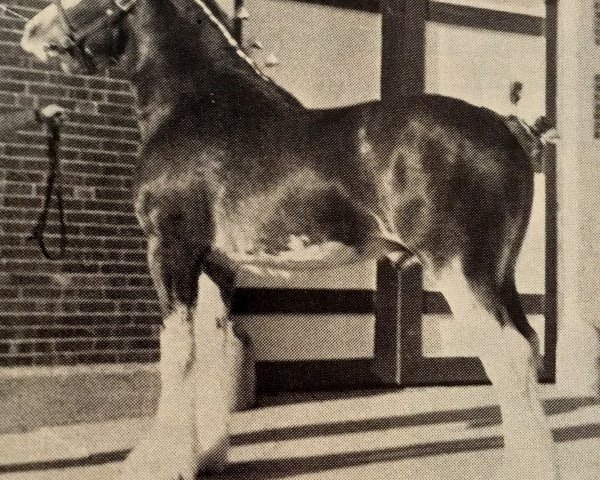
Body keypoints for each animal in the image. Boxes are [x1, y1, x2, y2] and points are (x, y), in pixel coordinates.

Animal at [21, 0, 556, 480]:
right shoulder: (216, 266)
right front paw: (206, 457)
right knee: (529, 347)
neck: (196, 106)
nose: (30, 30)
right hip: (499, 275)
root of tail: (506, 130)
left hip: (460, 271)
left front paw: (161, 464)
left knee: (508, 356)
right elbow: (213, 349)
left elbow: (177, 354)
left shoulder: (171, 251)